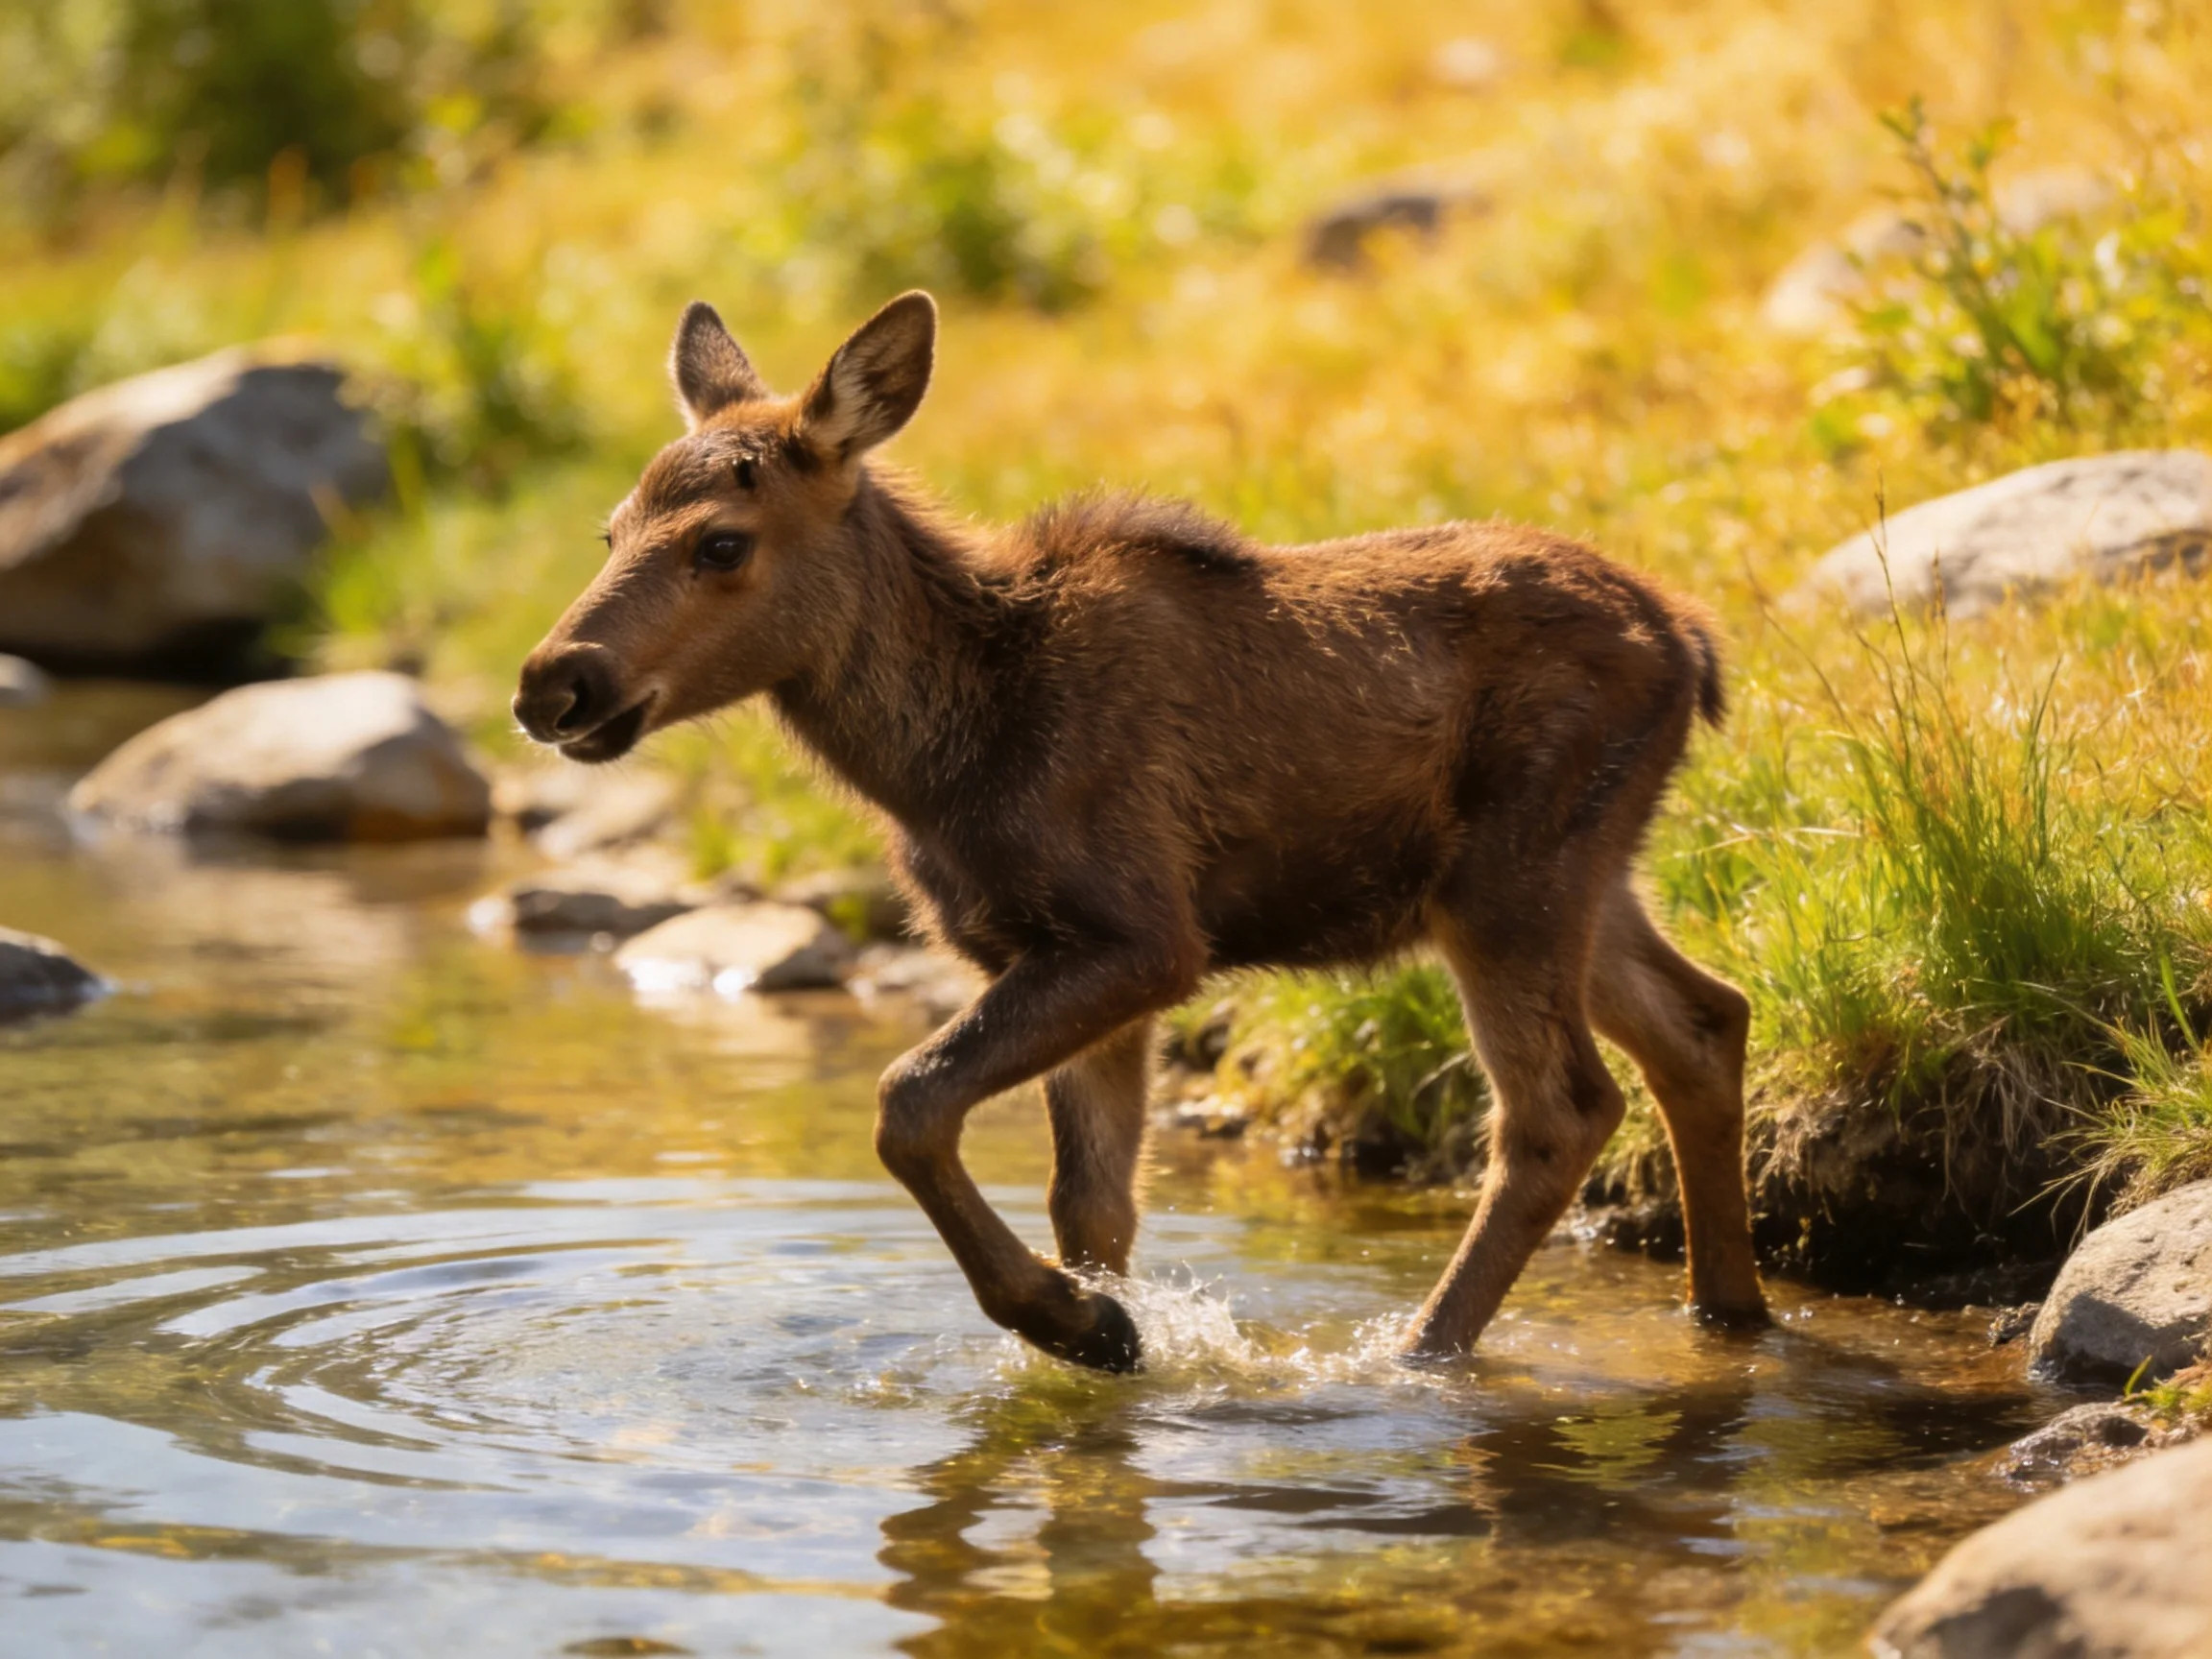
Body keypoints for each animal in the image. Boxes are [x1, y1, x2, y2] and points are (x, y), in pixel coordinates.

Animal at [514, 291, 1769, 1373]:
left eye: (722, 542)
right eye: (610, 530)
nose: (551, 683)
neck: (941, 754)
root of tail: (1693, 640)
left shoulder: (1143, 936)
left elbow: (910, 1100)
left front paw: (1079, 1323)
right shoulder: (1046, 954)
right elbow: (1093, 1201)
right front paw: (1099, 1327)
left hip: (1512, 881)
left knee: (1560, 1109)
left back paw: (1422, 1353)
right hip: (1585, 876)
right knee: (1705, 1021)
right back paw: (1730, 1312)